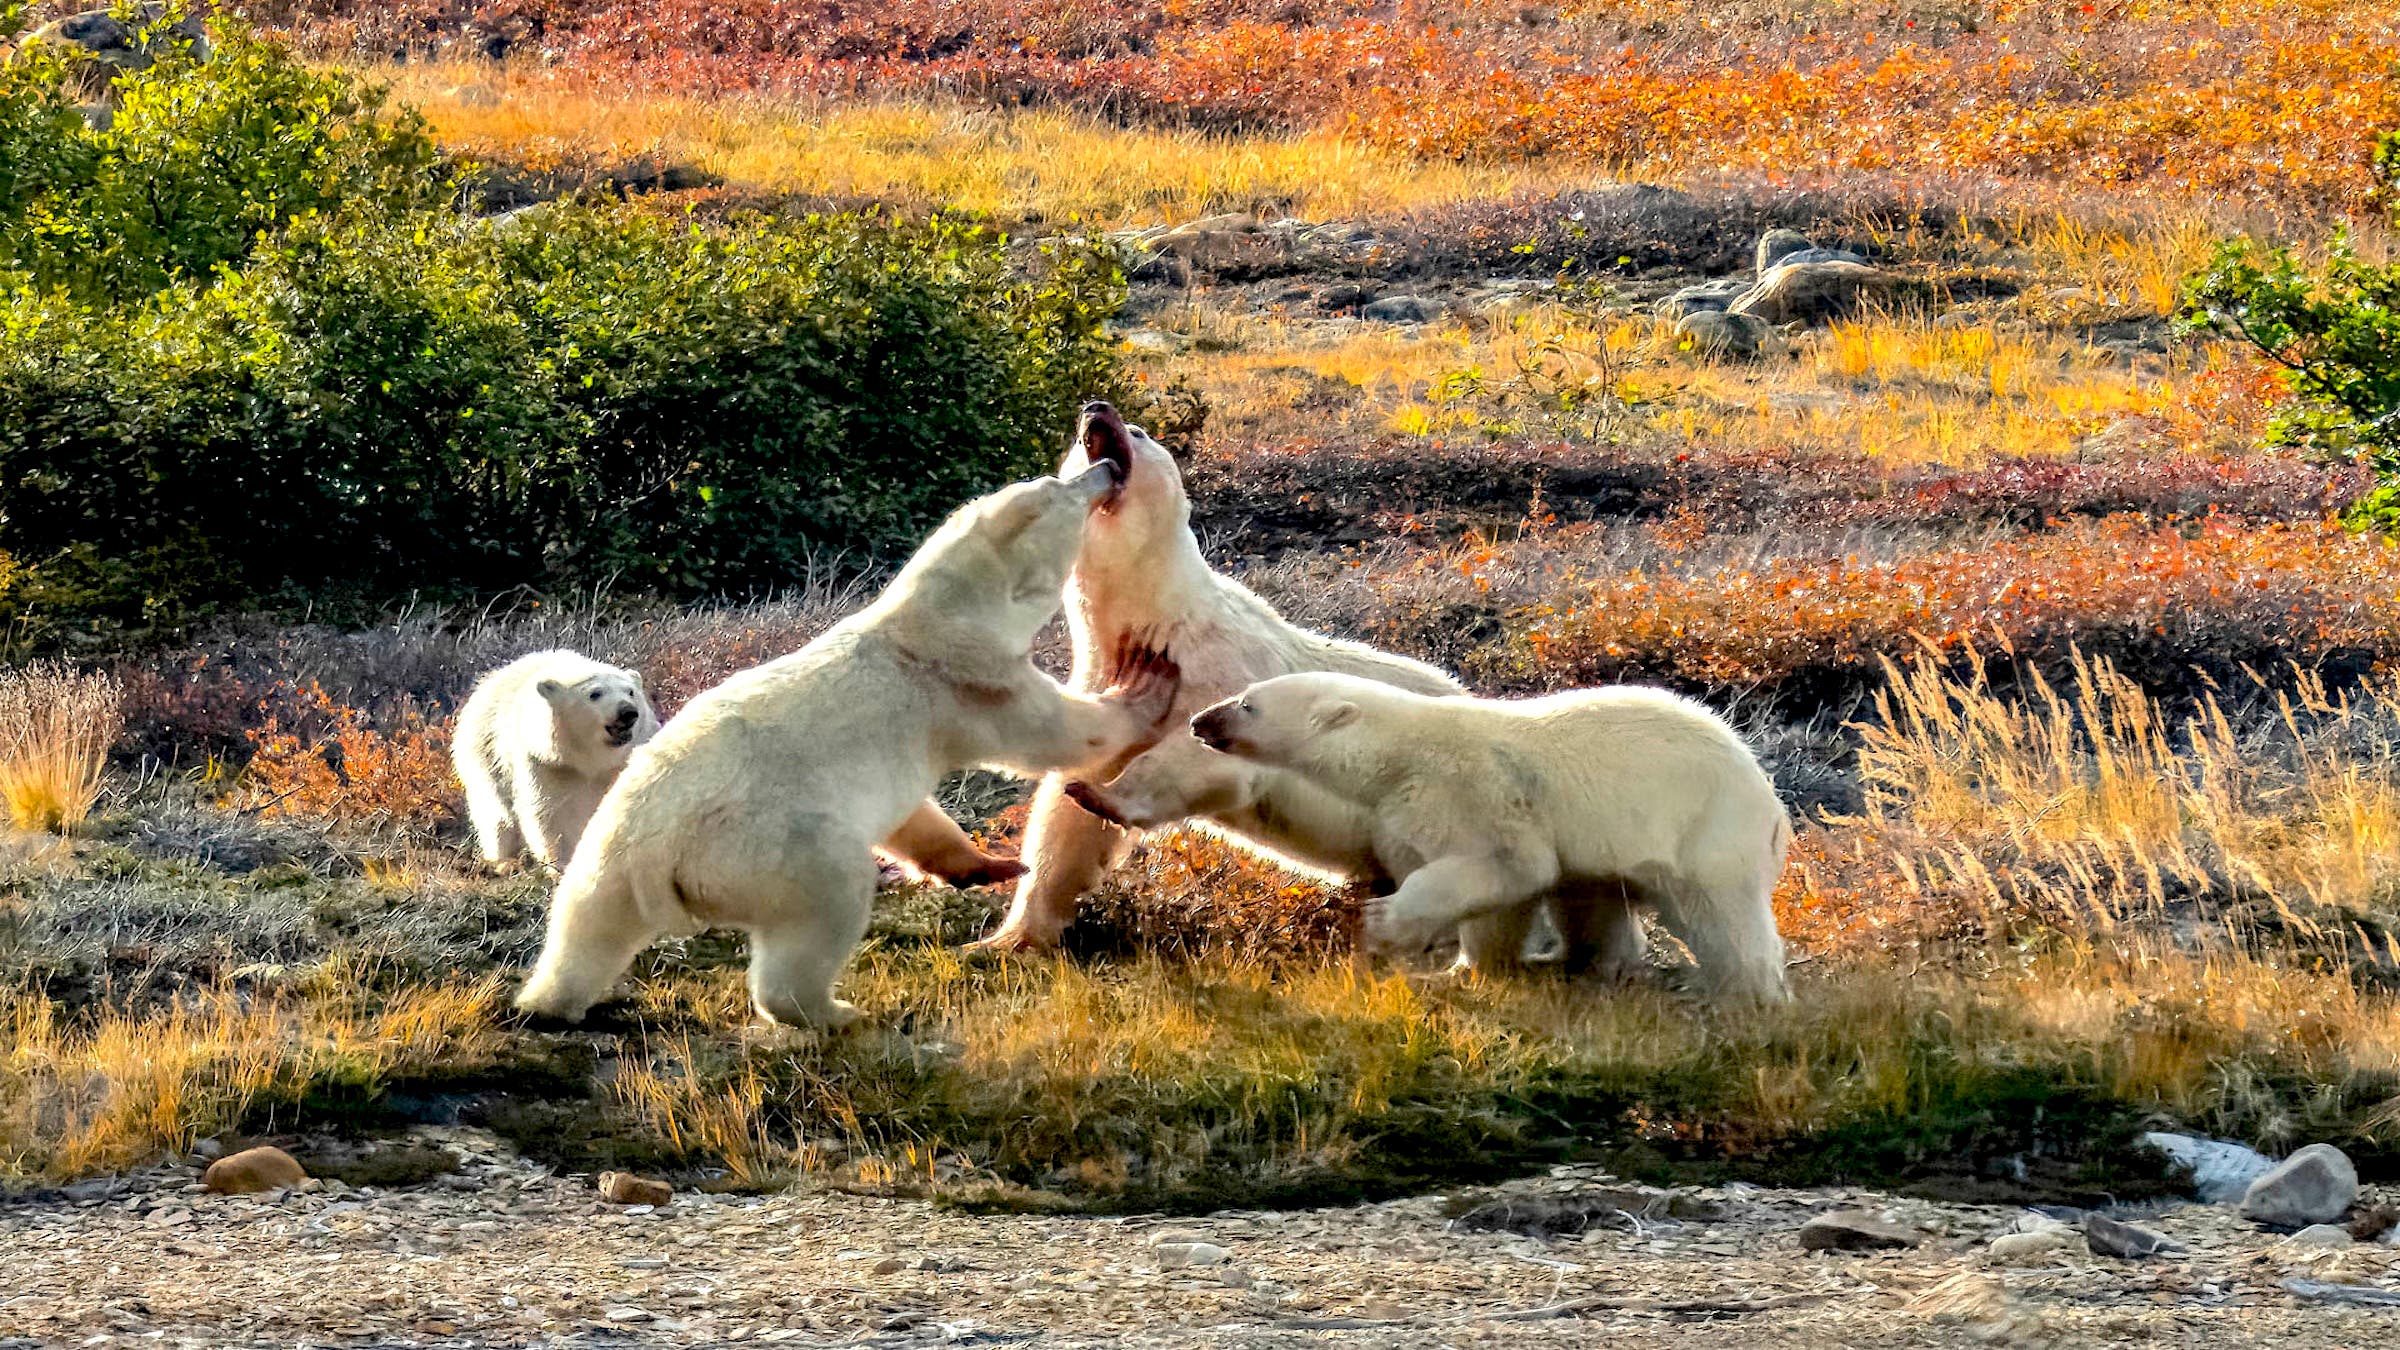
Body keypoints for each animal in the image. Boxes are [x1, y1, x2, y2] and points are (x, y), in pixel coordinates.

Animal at [452, 650, 661, 871]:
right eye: (595, 694)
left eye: (630, 692)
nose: (627, 712)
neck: (590, 759)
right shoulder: (548, 762)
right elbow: (553, 814)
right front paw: (563, 864)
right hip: (485, 758)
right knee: (497, 815)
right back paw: (505, 862)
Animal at [514, 460, 1180, 1030]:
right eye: (1057, 484)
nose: (1104, 468)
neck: (935, 619)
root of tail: (652, 855)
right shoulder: (969, 683)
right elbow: (1054, 733)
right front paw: (1146, 682)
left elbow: (915, 816)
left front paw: (989, 865)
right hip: (762, 847)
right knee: (826, 900)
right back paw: (831, 1011)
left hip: (605, 852)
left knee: (584, 928)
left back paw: (548, 1001)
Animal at [971, 401, 1463, 952]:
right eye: (1079, 443)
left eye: (1137, 432)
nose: (1096, 410)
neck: (1160, 621)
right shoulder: (1104, 685)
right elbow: (1064, 823)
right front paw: (1004, 939)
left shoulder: (1223, 665)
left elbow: (1213, 754)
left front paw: (1112, 796)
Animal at [1189, 673, 1794, 1001]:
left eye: (1247, 703)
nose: (1199, 720)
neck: (1401, 751)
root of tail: (1773, 804)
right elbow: (1507, 900)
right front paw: (1471, 968)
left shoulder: (1473, 790)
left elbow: (1506, 867)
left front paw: (1388, 925)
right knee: (1591, 896)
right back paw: (1577, 961)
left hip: (1706, 828)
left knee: (1722, 916)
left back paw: (1748, 993)